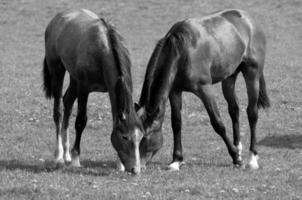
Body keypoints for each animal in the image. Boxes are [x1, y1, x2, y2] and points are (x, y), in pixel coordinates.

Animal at [42, 9, 144, 173]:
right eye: (125, 137)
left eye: (140, 137)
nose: (135, 169)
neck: (103, 50)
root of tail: (56, 19)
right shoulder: (84, 88)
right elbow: (81, 121)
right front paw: (76, 159)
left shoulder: (111, 90)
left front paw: (119, 164)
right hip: (57, 69)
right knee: (58, 111)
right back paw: (59, 157)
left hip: (74, 78)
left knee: (67, 102)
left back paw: (66, 155)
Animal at [136, 9, 270, 170]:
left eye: (145, 136)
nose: (134, 166)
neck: (182, 49)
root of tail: (249, 19)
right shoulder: (174, 91)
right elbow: (176, 123)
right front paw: (176, 160)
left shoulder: (205, 90)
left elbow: (218, 123)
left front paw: (236, 159)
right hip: (229, 77)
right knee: (234, 110)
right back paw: (237, 147)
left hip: (252, 74)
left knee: (252, 113)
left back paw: (252, 157)